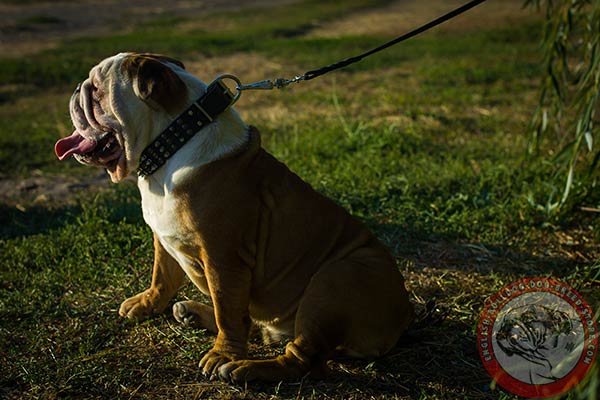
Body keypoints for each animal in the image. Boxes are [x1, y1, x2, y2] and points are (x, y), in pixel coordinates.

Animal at [55, 52, 412, 382]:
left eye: (96, 90)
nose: (74, 90)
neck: (173, 141)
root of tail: (401, 315)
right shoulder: (163, 239)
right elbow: (162, 276)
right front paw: (147, 304)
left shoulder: (223, 258)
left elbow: (228, 310)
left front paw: (222, 354)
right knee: (252, 323)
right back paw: (193, 313)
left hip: (335, 279)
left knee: (299, 358)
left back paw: (244, 368)